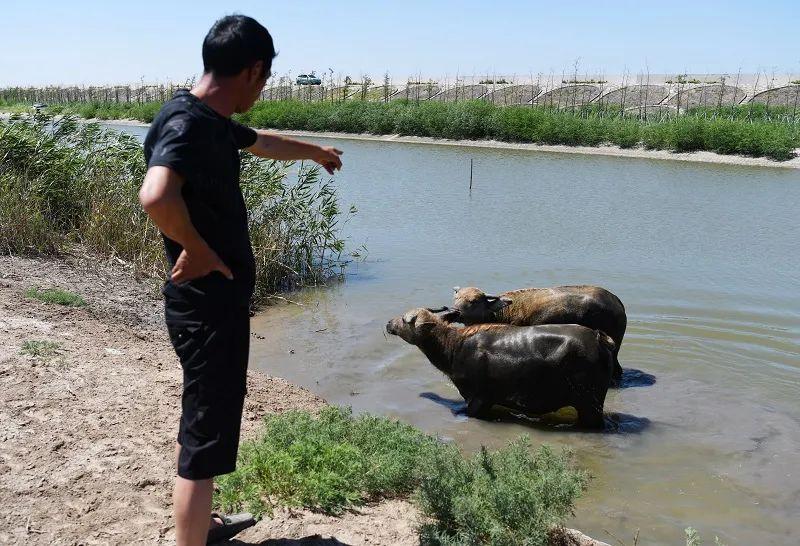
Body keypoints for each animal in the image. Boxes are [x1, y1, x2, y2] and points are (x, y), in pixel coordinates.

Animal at [384, 308, 616, 428]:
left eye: (404, 319)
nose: (388, 323)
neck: (452, 349)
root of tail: (600, 339)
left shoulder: (478, 398)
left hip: (590, 404)